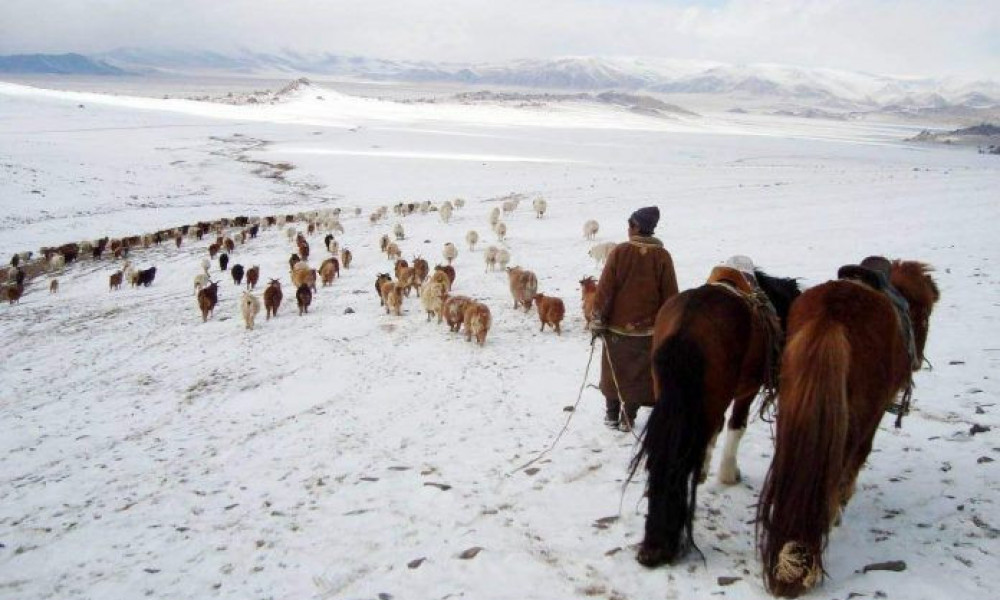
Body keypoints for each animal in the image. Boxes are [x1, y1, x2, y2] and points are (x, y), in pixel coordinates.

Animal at [628, 266, 800, 568]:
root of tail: (687, 325)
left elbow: (714, 431)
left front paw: (704, 470)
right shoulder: (746, 390)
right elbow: (735, 426)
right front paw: (728, 474)